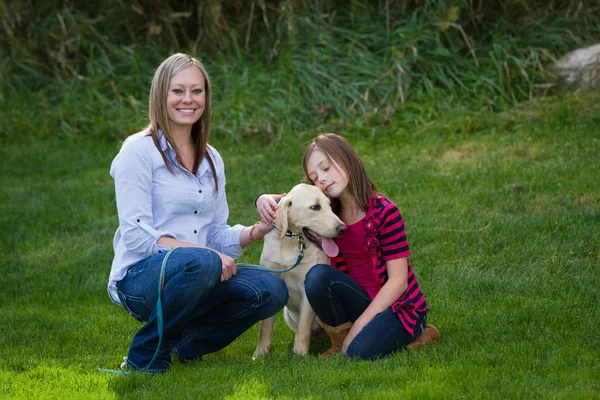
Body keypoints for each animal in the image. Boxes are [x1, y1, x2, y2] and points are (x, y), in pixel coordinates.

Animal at [253, 183, 346, 358]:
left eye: (330, 205)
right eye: (315, 207)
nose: (343, 228)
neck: (291, 242)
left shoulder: (306, 290)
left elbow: (303, 328)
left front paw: (300, 354)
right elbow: (265, 327)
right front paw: (260, 354)